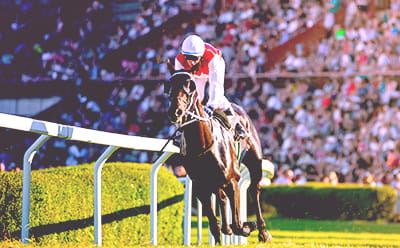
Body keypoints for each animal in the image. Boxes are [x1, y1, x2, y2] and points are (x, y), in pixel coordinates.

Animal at [166, 70, 272, 244]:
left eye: (190, 89)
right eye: (168, 88)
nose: (176, 112)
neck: (203, 145)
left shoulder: (232, 180)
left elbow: (238, 225)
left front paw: (248, 225)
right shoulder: (201, 187)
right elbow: (214, 225)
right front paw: (221, 236)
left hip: (255, 161)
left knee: (254, 189)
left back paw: (263, 232)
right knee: (222, 197)